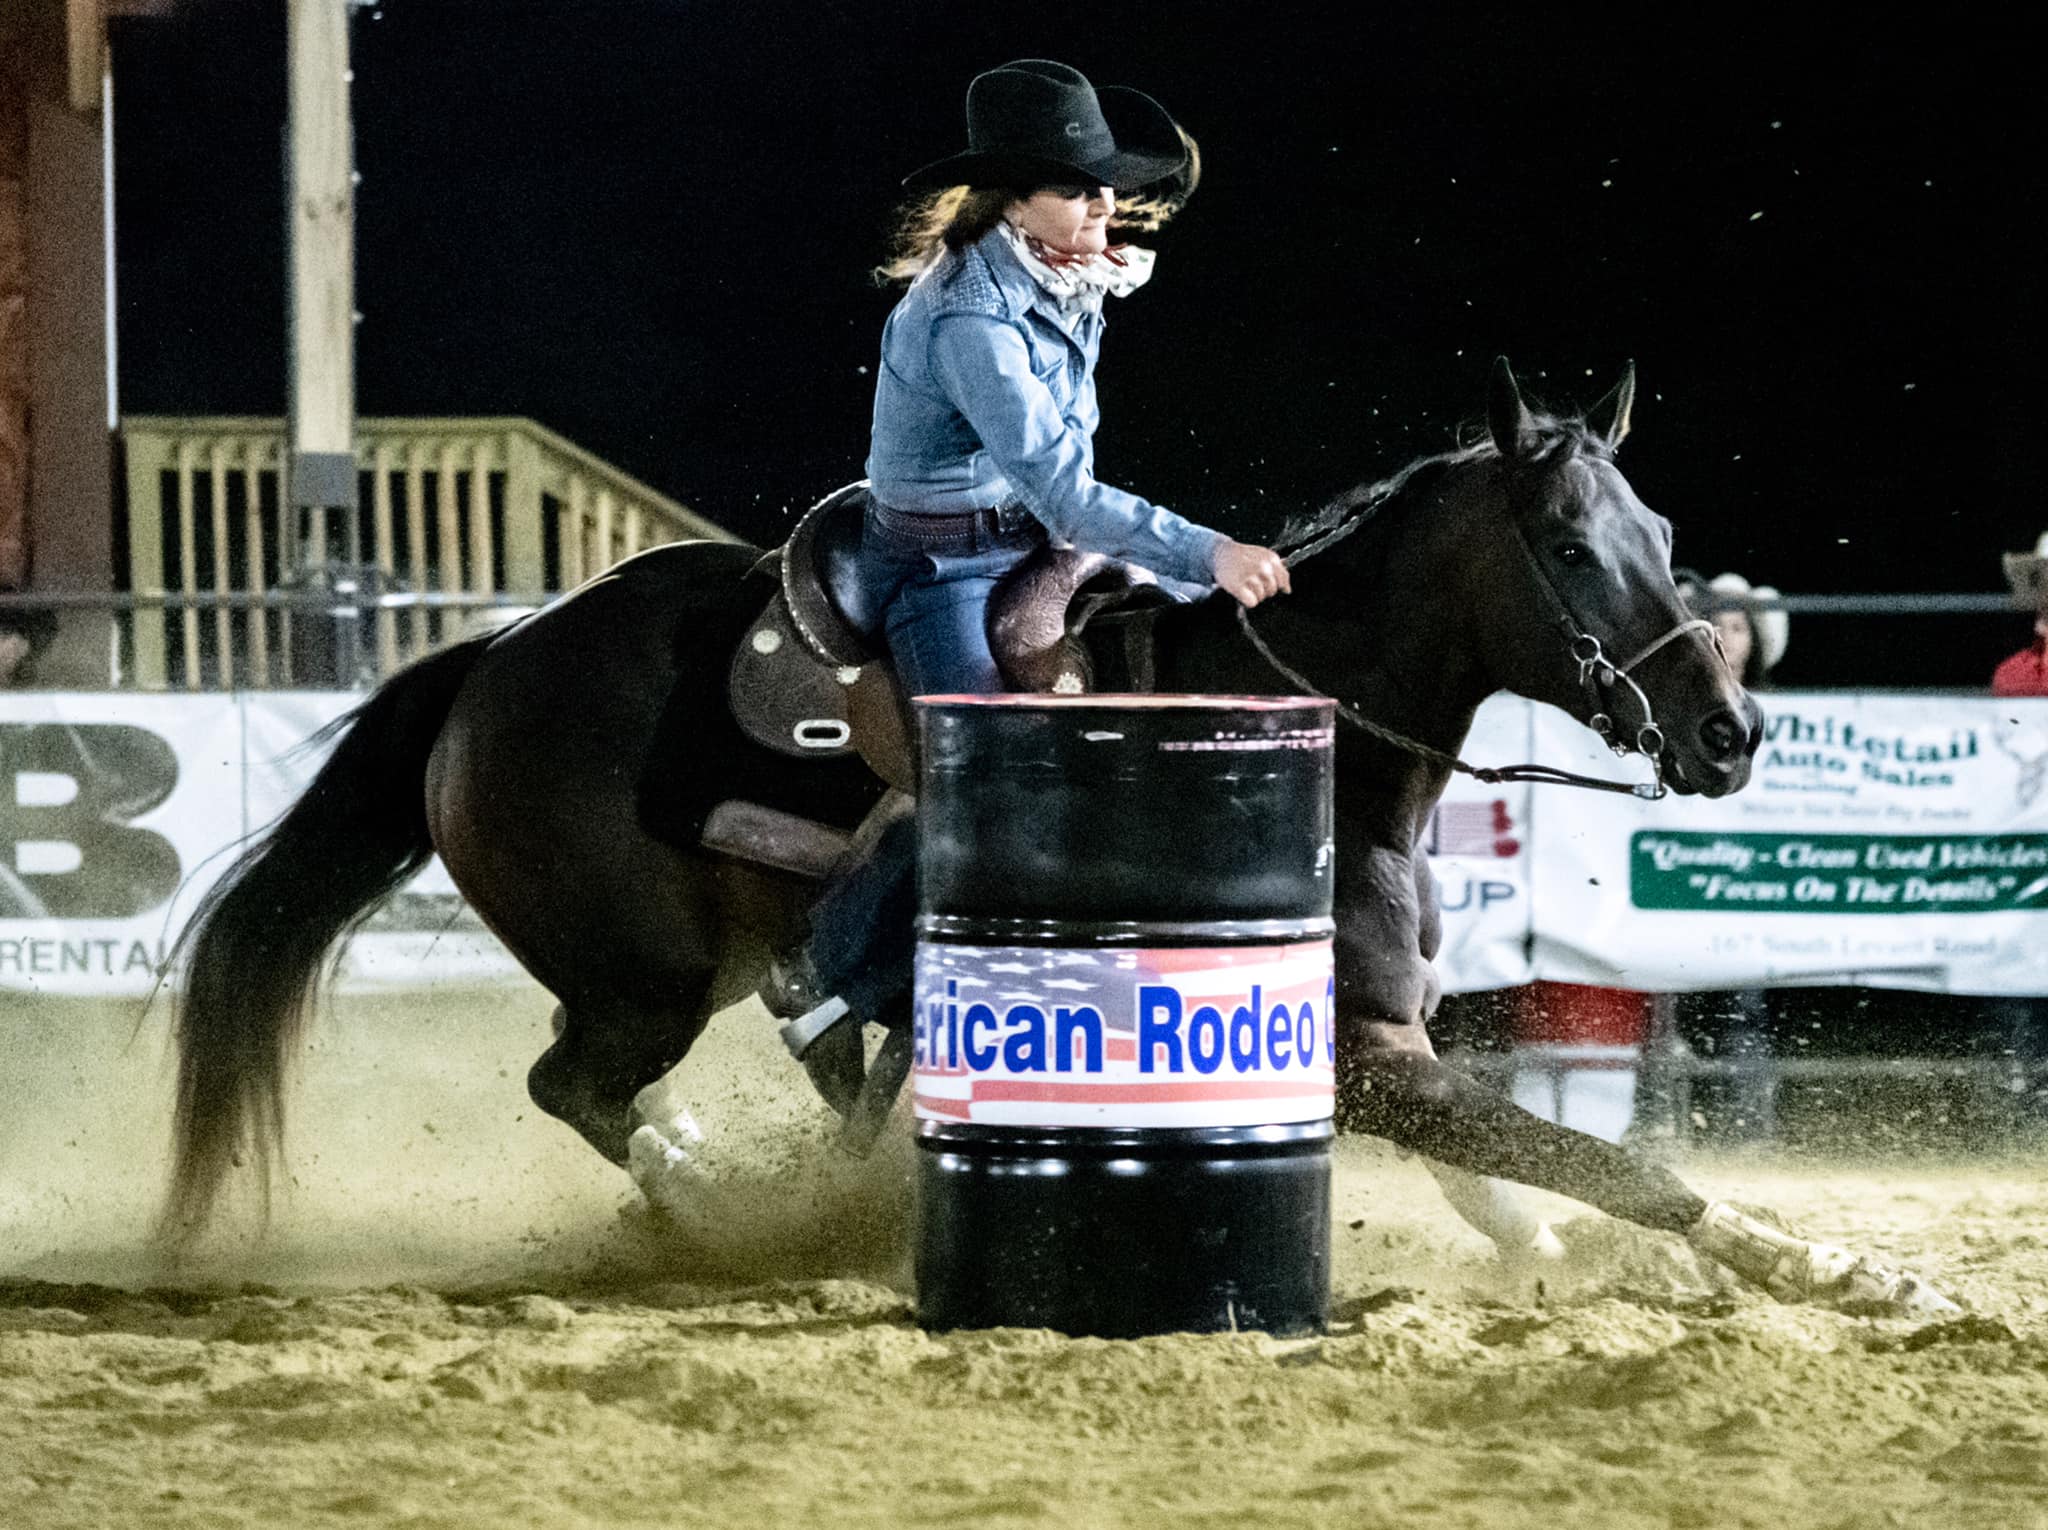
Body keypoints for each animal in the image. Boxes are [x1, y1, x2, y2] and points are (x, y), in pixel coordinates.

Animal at [159, 356, 1949, 1302]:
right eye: (1575, 550)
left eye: (1663, 526)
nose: (1730, 733)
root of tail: (493, 659)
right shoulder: (1354, 1049)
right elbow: (1609, 1160)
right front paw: (1840, 1270)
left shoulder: (1374, 1042)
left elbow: (1519, 1182)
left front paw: (1582, 1257)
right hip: (638, 976)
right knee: (583, 1088)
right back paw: (718, 1205)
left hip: (723, 966)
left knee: (711, 1079)